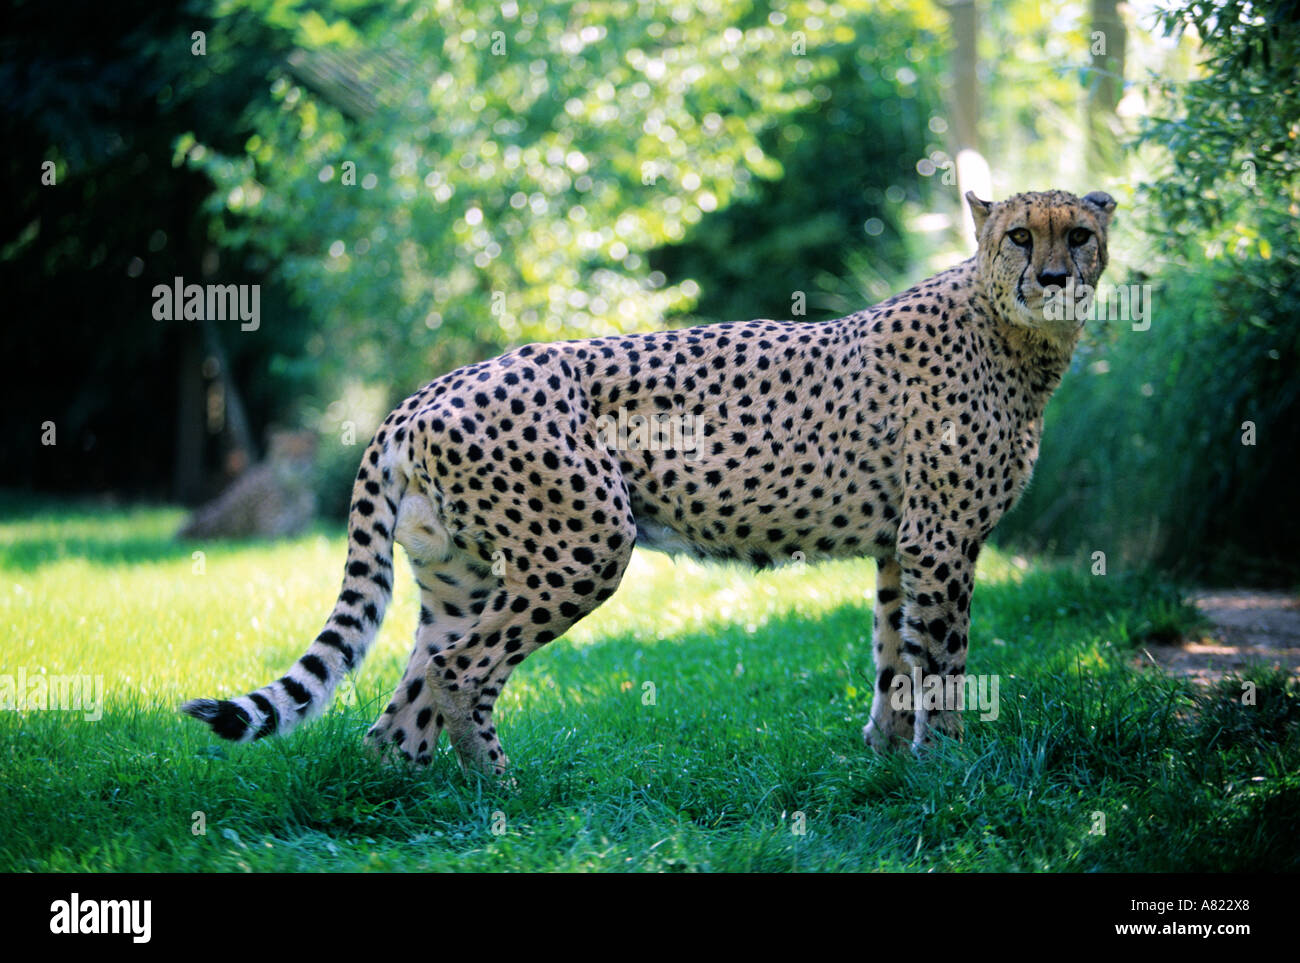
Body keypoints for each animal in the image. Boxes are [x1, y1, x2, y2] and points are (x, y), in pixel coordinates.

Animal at [183, 188, 1118, 769]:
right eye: (1019, 236)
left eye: (1078, 234)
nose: (1054, 276)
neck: (1012, 329)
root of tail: (431, 386)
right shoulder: (941, 539)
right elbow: (944, 660)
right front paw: (948, 766)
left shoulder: (900, 543)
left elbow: (896, 655)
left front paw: (888, 763)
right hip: (585, 543)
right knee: (460, 672)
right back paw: (501, 794)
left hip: (456, 574)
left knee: (402, 705)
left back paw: (418, 805)